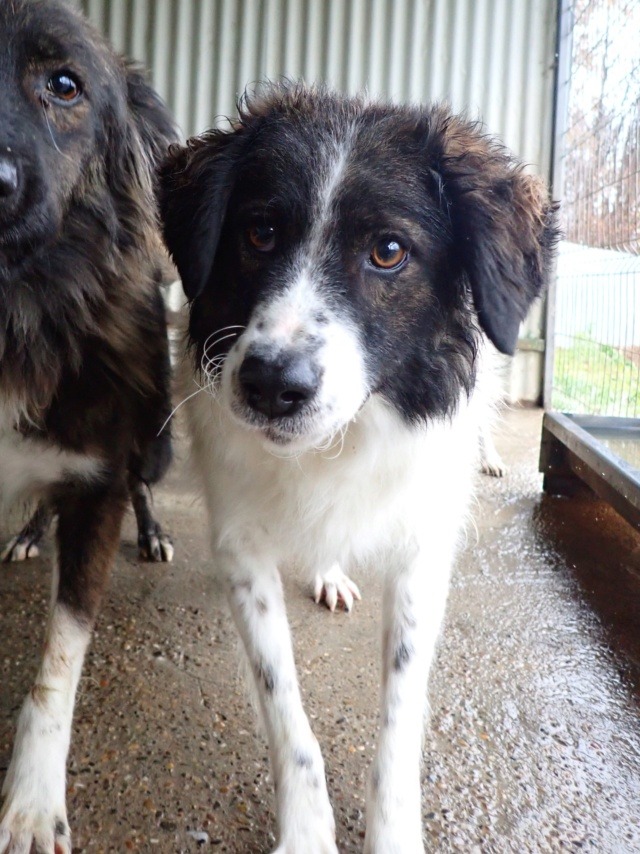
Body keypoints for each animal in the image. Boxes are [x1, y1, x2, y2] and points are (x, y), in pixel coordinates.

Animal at [159, 82, 559, 853]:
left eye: (389, 251)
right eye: (259, 233)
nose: (271, 385)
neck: (335, 444)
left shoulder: (422, 551)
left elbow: (400, 718)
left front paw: (393, 832)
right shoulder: (240, 548)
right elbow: (285, 707)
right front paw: (307, 831)